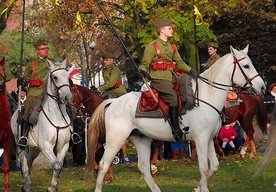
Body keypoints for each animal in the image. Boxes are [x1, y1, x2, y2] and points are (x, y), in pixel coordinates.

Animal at [10, 59, 72, 191]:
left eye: (67, 76)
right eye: (55, 77)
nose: (67, 97)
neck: (57, 116)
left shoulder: (63, 146)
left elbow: (59, 167)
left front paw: (55, 186)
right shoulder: (46, 146)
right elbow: (56, 165)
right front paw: (52, 187)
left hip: (34, 149)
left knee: (29, 164)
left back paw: (25, 186)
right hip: (22, 148)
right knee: (24, 166)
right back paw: (27, 187)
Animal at [85, 45, 266, 192]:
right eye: (246, 65)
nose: (262, 87)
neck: (206, 96)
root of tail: (113, 102)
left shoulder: (208, 139)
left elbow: (214, 167)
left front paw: (198, 187)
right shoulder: (201, 139)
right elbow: (204, 168)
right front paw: (201, 187)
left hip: (142, 139)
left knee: (144, 168)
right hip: (115, 140)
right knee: (103, 165)